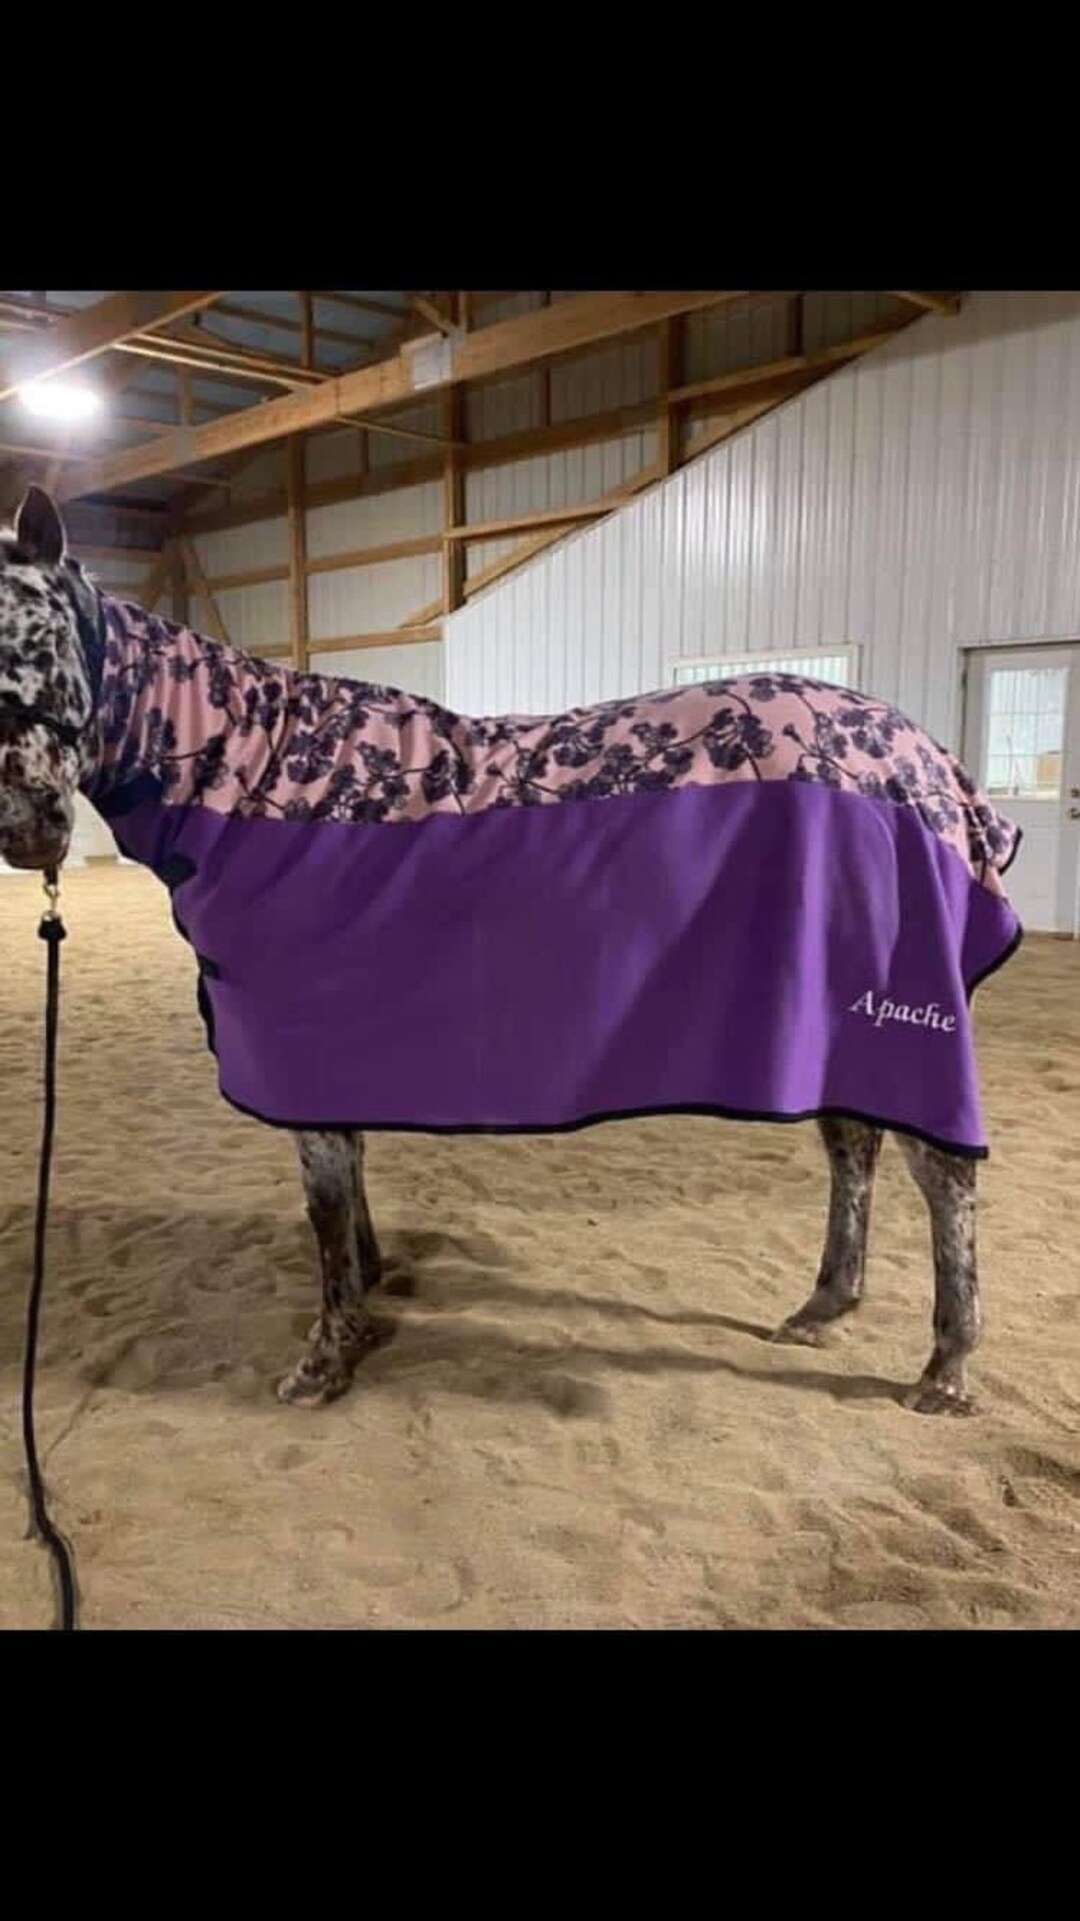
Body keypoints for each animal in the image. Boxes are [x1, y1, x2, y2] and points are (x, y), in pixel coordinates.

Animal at [0, 485, 1022, 1413]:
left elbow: (324, 1207)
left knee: (942, 1172)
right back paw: (824, 1307)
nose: (27, 825)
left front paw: (324, 1359)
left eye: (35, 642)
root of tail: (926, 763)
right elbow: (350, 1183)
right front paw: (373, 1291)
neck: (260, 782)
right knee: (855, 1145)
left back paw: (945, 1370)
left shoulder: (298, 1044)